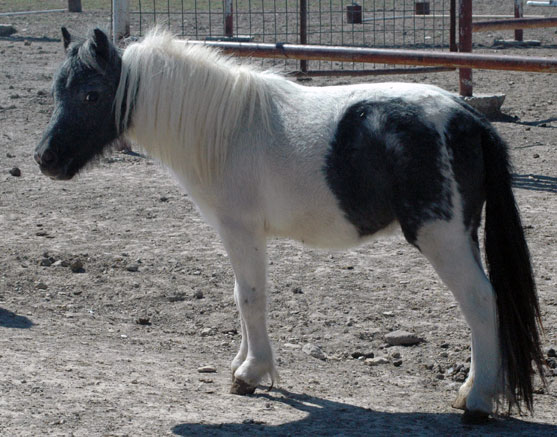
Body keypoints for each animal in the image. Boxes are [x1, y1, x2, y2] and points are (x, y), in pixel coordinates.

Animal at [34, 27, 545, 424]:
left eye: (91, 94)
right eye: (58, 91)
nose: (45, 159)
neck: (228, 130)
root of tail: (471, 119)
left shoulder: (241, 231)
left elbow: (250, 297)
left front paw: (251, 374)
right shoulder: (240, 234)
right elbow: (241, 297)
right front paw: (243, 365)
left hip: (441, 238)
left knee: (480, 301)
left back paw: (477, 401)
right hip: (462, 235)